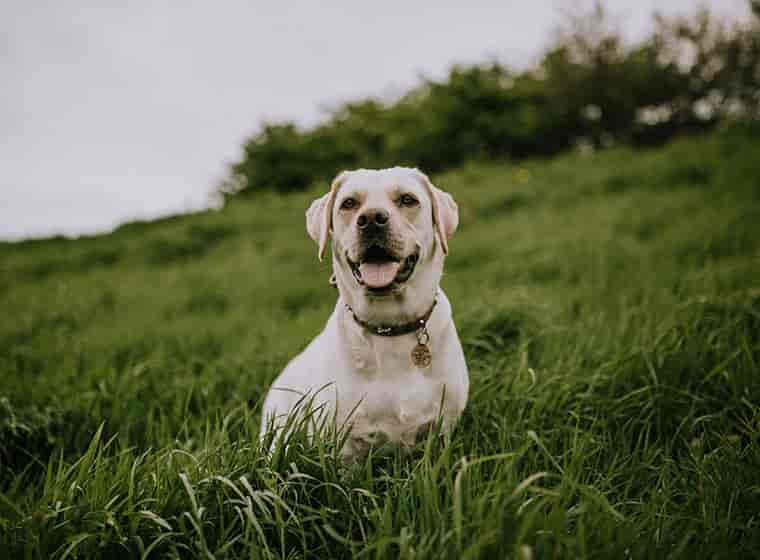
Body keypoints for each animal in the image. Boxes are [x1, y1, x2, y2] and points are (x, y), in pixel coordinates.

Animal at [262, 166, 470, 460]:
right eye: (349, 203)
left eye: (408, 200)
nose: (371, 219)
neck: (389, 327)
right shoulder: (342, 445)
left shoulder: (444, 430)